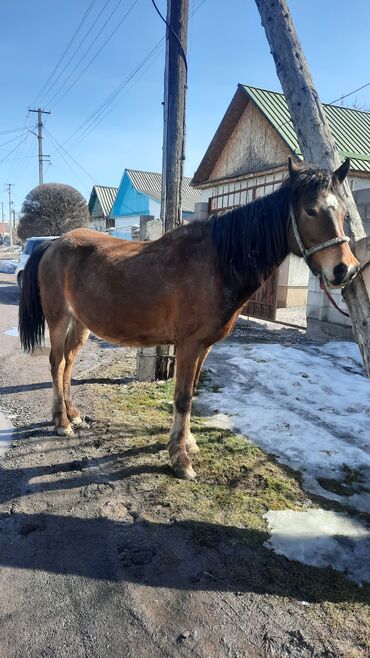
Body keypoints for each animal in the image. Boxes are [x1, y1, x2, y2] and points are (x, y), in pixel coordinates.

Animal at [18, 158, 358, 476]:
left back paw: (73, 415)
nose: (346, 270)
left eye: (345, 213)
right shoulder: (188, 345)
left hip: (80, 324)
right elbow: (181, 397)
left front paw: (187, 442)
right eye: (311, 211)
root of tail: (53, 244)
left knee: (67, 364)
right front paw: (179, 459)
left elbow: (192, 393)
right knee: (56, 363)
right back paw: (61, 422)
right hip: (59, 319)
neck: (217, 263)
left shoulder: (205, 346)